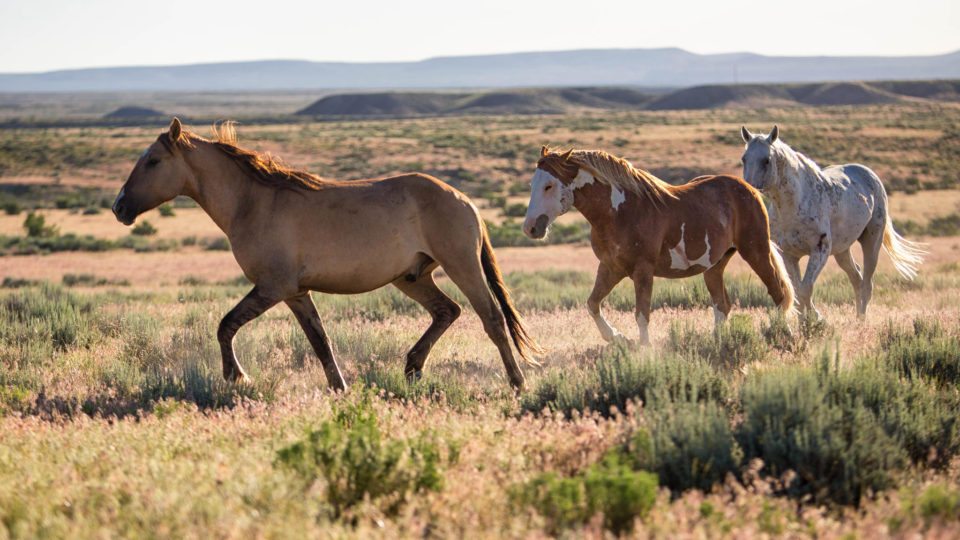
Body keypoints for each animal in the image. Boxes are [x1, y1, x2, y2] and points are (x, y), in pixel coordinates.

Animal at [112, 119, 540, 388]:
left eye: (153, 161)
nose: (119, 208)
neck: (253, 201)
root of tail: (465, 200)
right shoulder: (295, 293)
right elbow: (320, 342)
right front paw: (340, 388)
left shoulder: (273, 288)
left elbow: (226, 325)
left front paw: (237, 376)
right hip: (412, 277)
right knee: (447, 311)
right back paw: (412, 367)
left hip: (461, 265)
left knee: (491, 318)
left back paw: (517, 382)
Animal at [520, 146, 792, 344]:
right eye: (531, 185)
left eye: (549, 185)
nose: (530, 228)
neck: (618, 213)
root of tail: (750, 189)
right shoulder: (610, 268)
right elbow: (592, 304)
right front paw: (618, 338)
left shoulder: (643, 270)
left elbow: (642, 314)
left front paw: (644, 349)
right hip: (715, 265)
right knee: (722, 305)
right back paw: (717, 342)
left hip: (755, 251)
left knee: (778, 294)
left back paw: (782, 334)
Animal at [740, 124, 928, 318]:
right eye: (744, 159)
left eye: (766, 160)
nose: (746, 190)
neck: (794, 205)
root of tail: (869, 174)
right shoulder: (789, 255)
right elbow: (798, 291)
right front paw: (805, 322)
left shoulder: (820, 250)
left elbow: (805, 289)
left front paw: (816, 319)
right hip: (842, 250)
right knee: (857, 279)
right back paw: (857, 318)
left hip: (872, 241)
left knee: (867, 284)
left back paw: (862, 320)